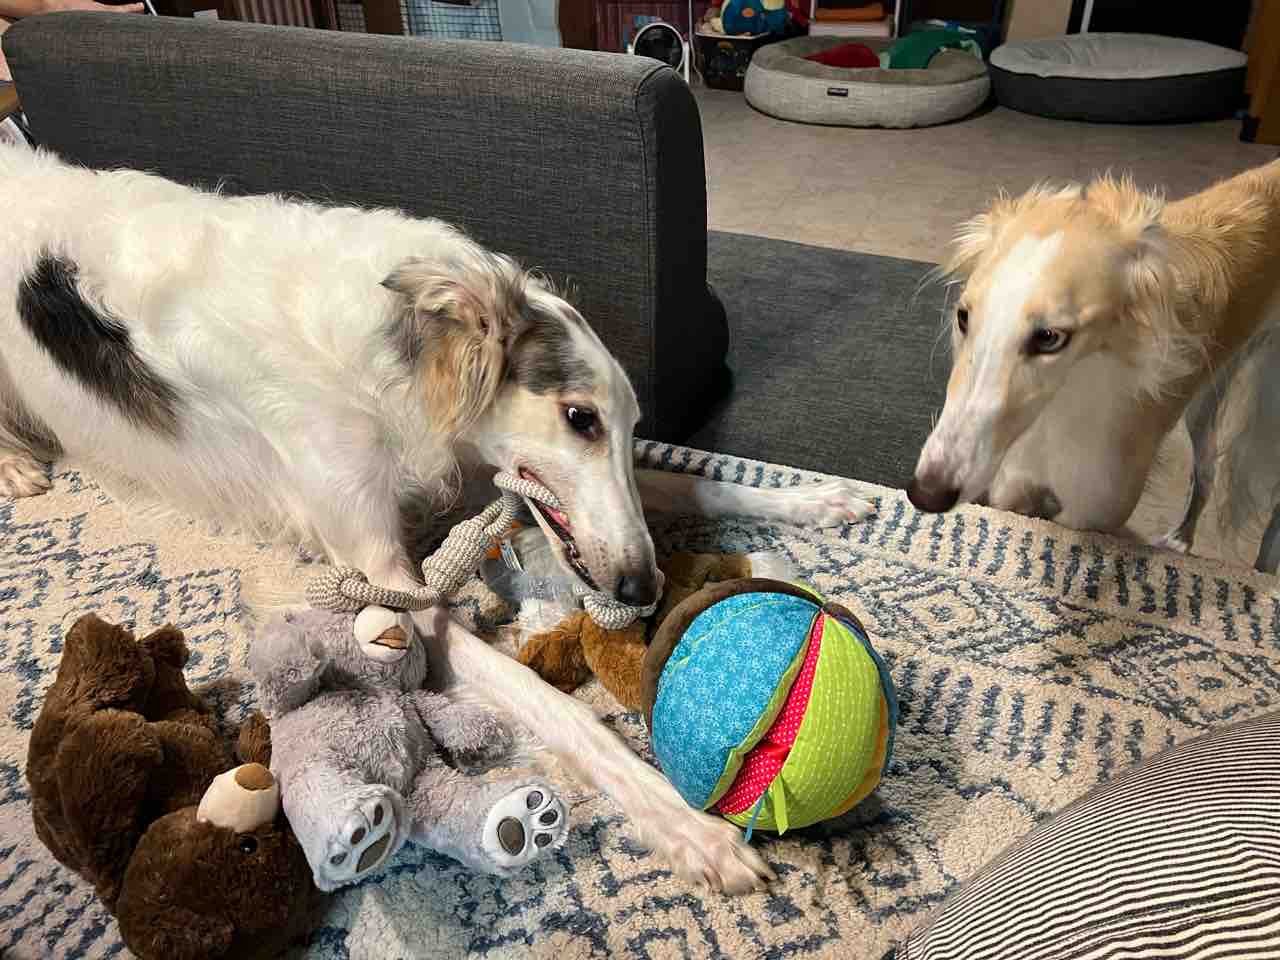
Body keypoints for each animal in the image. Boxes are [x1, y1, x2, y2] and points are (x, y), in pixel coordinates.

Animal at [0, 142, 875, 892]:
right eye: (579, 418)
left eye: (629, 426)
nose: (642, 587)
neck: (396, 353)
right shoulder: (390, 582)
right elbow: (560, 708)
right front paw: (691, 830)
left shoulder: (475, 470)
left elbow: (696, 484)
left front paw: (817, 500)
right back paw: (16, 463)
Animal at [907, 160, 1280, 565]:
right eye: (963, 316)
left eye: (1049, 337)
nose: (926, 494)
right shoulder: (1013, 485)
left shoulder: (1092, 513)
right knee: (1208, 469)